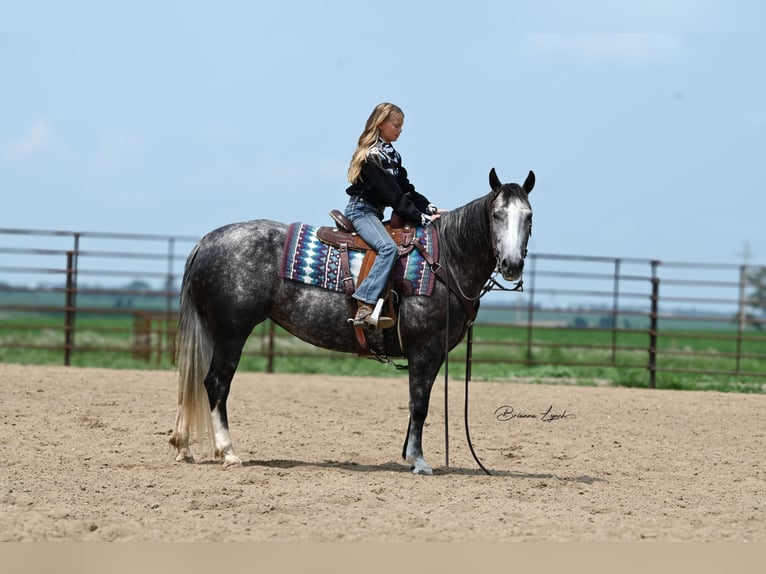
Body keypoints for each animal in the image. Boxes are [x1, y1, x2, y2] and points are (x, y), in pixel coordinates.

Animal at [171, 166, 536, 476]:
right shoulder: (425, 349)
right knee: (216, 383)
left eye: (529, 217)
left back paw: (182, 445)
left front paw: (409, 455)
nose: (512, 265)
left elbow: (418, 404)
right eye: (496, 215)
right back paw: (228, 452)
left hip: (214, 331)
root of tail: (206, 242)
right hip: (232, 332)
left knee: (193, 379)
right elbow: (419, 404)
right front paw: (419, 462)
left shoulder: (434, 355)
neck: (444, 260)